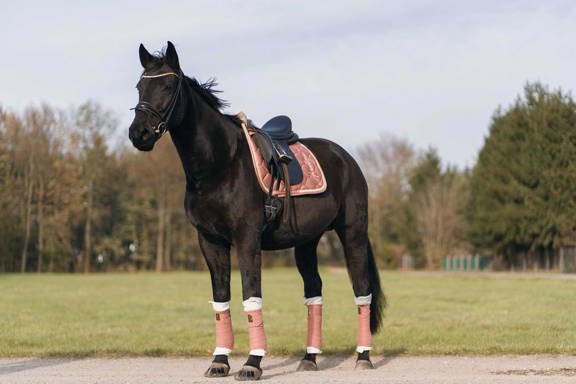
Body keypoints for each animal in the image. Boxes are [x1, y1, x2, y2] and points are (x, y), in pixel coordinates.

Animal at [128, 42, 384, 380]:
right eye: (139, 86)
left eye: (168, 87)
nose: (139, 133)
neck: (220, 164)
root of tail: (346, 158)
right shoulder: (210, 242)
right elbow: (221, 300)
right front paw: (220, 361)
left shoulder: (247, 239)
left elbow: (251, 297)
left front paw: (252, 363)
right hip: (307, 241)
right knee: (314, 291)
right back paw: (310, 357)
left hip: (352, 232)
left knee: (362, 291)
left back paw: (363, 355)